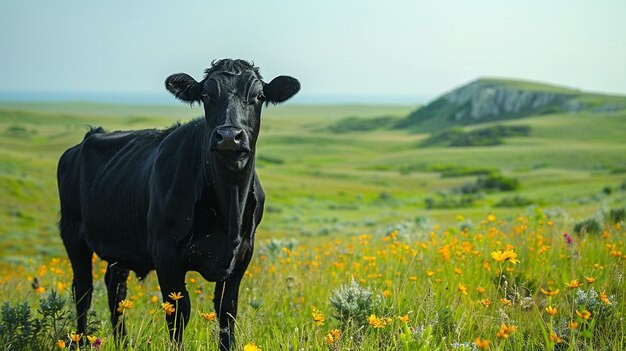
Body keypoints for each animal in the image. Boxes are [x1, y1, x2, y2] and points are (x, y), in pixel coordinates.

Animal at [58, 58, 300, 350]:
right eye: (206, 96)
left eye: (259, 96)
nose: (229, 136)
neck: (229, 207)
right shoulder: (166, 254)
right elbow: (178, 312)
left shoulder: (243, 253)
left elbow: (227, 311)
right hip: (72, 233)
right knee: (83, 290)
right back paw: (81, 341)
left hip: (120, 243)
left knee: (115, 288)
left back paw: (123, 342)